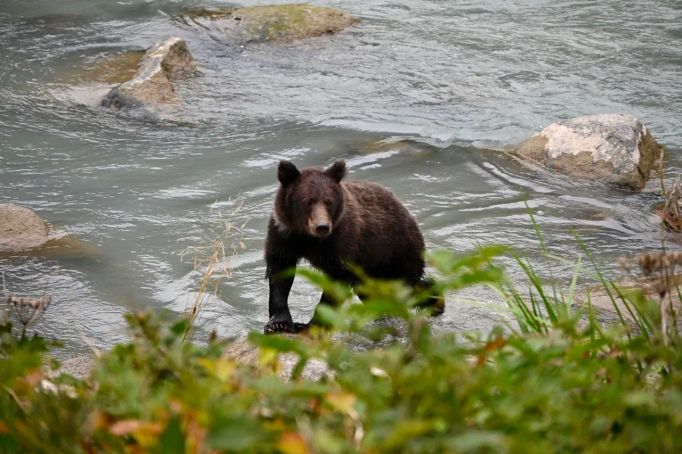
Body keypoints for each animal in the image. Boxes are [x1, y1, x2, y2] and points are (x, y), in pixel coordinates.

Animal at [262, 160, 438, 334]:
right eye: (308, 201)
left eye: (329, 202)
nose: (322, 226)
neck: (308, 237)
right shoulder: (284, 235)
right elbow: (280, 273)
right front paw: (279, 323)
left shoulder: (341, 240)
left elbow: (335, 281)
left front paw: (314, 323)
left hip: (395, 252)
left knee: (404, 288)